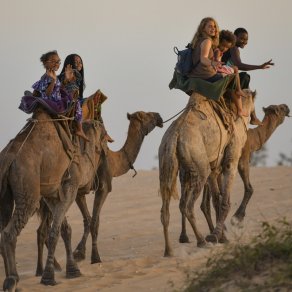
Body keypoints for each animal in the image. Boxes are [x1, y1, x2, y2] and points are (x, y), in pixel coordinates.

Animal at [0, 108, 104, 290]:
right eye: (101, 130)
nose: (104, 144)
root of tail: (8, 157)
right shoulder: (70, 186)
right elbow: (54, 232)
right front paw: (48, 277)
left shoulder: (51, 194)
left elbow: (64, 229)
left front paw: (72, 270)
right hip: (28, 189)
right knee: (8, 232)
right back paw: (12, 280)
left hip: (5, 194)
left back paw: (14, 281)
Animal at [35, 110, 163, 270]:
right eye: (147, 115)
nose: (159, 117)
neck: (114, 161)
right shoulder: (103, 187)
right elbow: (94, 221)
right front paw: (92, 257)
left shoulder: (80, 191)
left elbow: (88, 220)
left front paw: (80, 253)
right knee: (44, 228)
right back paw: (49, 267)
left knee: (42, 229)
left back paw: (46, 268)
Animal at [159, 90, 256, 256]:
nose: (254, 118)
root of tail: (174, 137)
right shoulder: (232, 157)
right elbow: (224, 200)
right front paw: (222, 231)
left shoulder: (214, 167)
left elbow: (216, 200)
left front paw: (222, 236)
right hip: (199, 167)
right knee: (187, 206)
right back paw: (201, 241)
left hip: (167, 164)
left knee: (166, 209)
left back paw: (169, 251)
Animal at [179, 104, 290, 243]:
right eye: (280, 109)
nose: (287, 107)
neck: (253, 138)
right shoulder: (242, 158)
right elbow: (248, 188)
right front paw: (237, 218)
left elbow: (221, 195)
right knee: (199, 203)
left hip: (185, 174)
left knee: (185, 202)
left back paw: (185, 236)